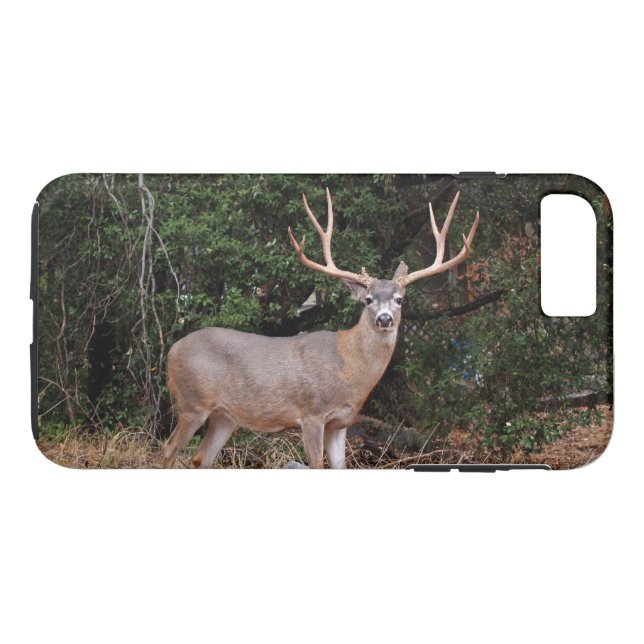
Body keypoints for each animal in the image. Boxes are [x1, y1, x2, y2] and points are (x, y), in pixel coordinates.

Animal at [162, 189, 479, 469]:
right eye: (368, 299)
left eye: (399, 299)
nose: (385, 319)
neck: (349, 366)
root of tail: (171, 351)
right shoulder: (311, 413)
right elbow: (316, 465)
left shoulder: (341, 422)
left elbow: (340, 467)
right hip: (192, 403)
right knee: (169, 450)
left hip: (224, 416)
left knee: (200, 459)